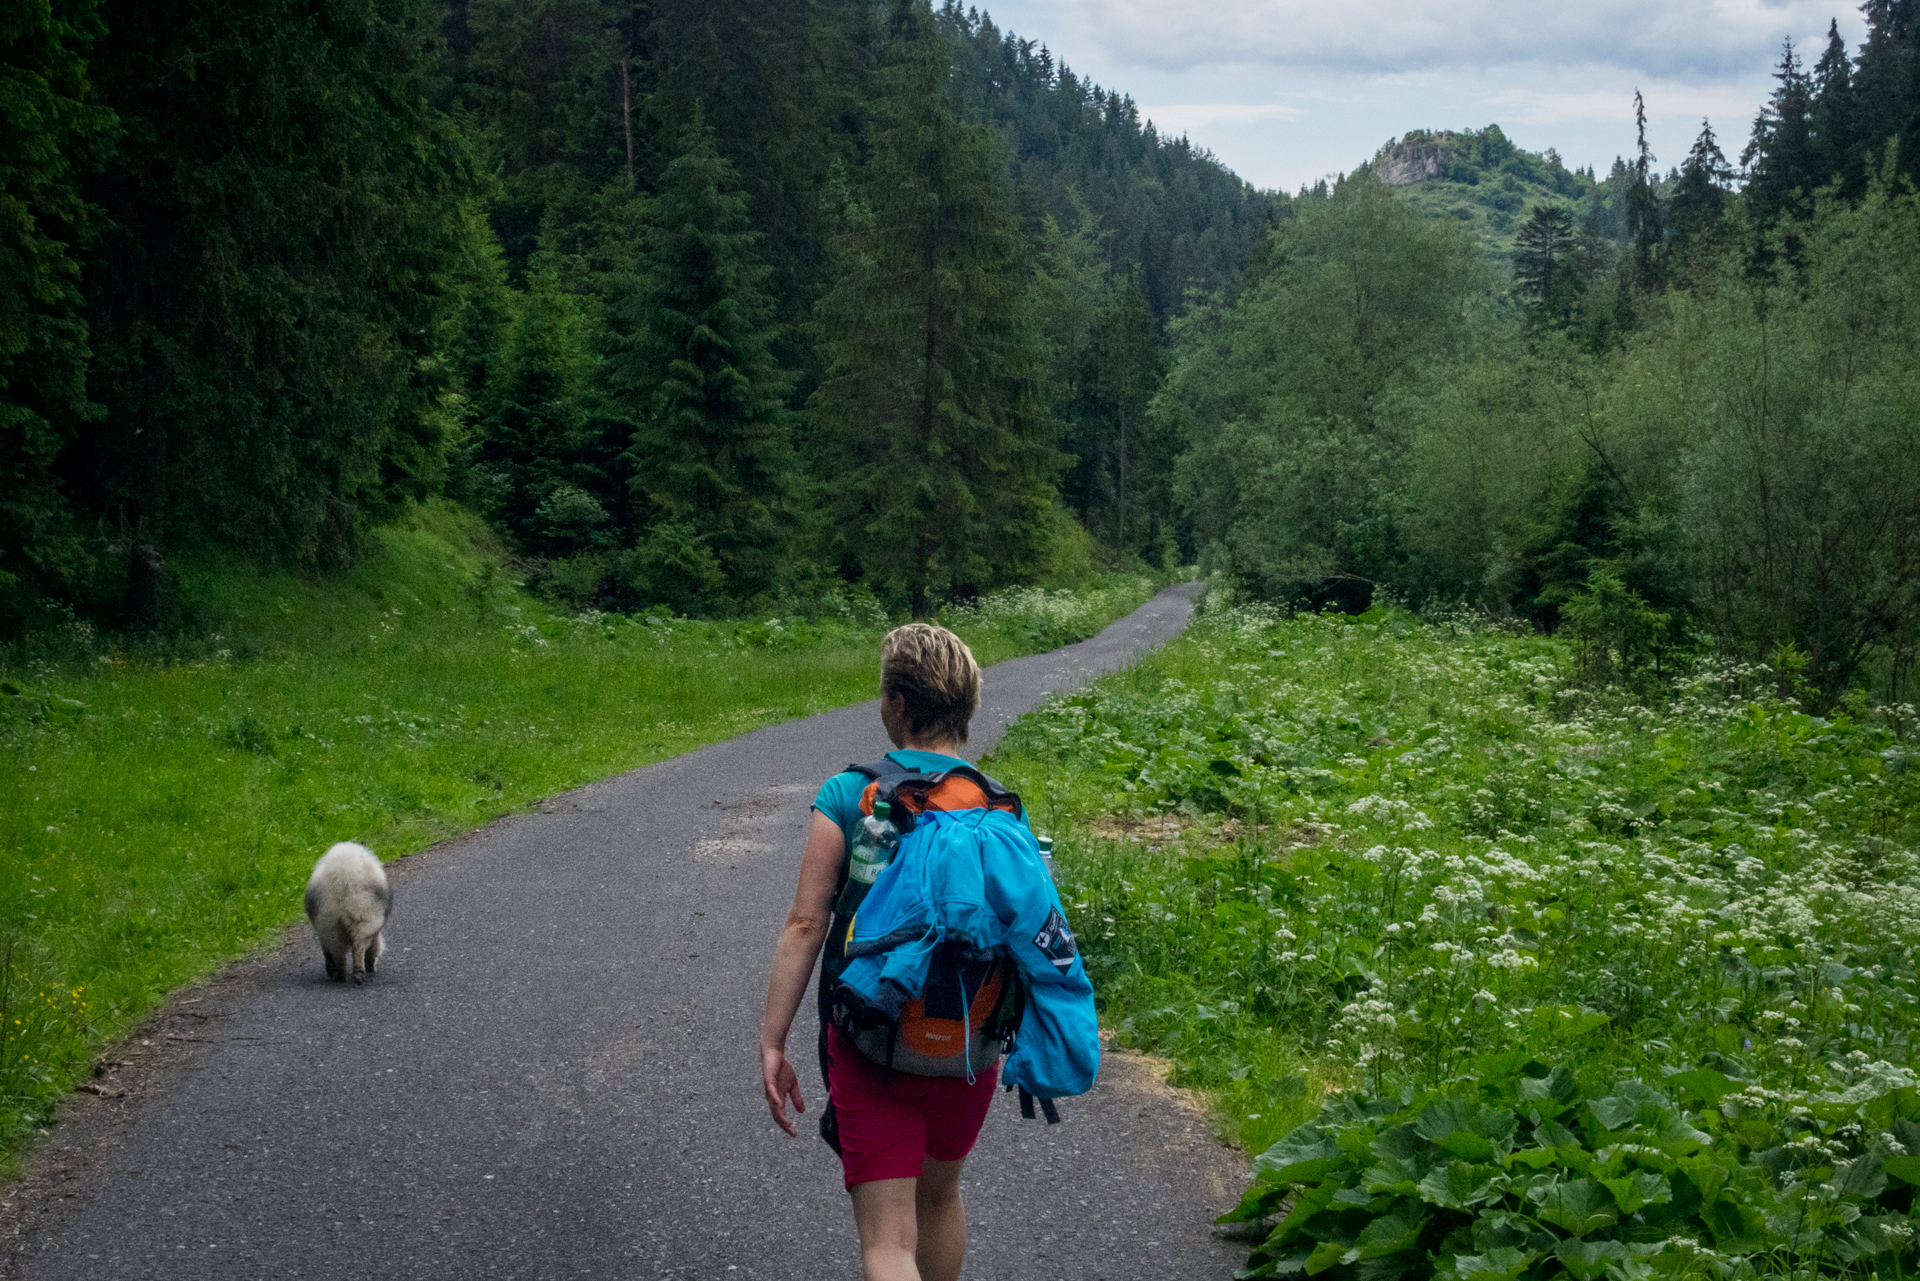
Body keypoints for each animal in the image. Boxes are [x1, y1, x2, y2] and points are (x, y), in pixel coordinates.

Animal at [305, 841, 391, 983]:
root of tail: (345, 877)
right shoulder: (375, 927)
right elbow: (373, 948)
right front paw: (371, 967)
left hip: (330, 924)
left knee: (338, 952)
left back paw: (343, 975)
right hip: (363, 920)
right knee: (357, 948)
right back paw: (355, 974)